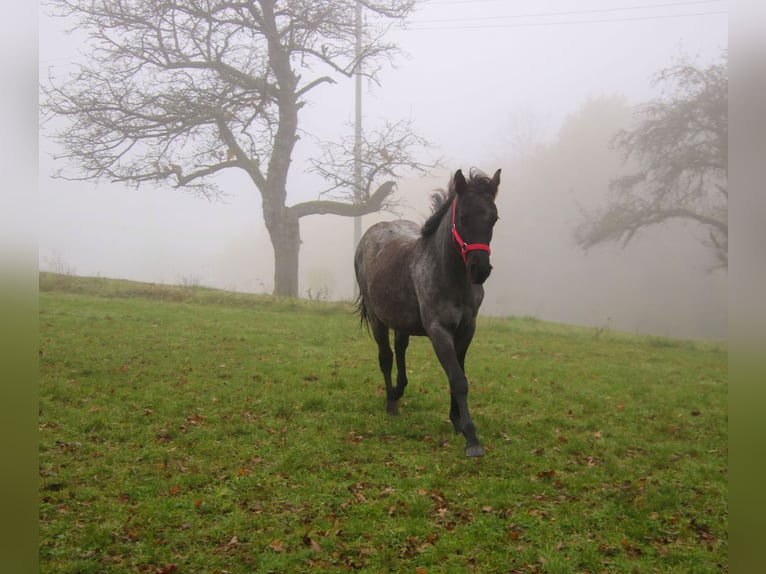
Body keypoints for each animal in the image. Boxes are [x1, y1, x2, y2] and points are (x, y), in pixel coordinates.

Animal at [354, 168, 501, 457]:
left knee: (400, 351)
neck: (449, 275)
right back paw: (391, 403)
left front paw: (457, 421)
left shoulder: (466, 330)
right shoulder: (438, 331)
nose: (479, 269)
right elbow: (458, 379)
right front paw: (471, 438)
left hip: (402, 321)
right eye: (463, 216)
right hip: (378, 319)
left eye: (494, 218)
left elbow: (459, 374)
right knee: (386, 357)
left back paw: (398, 391)